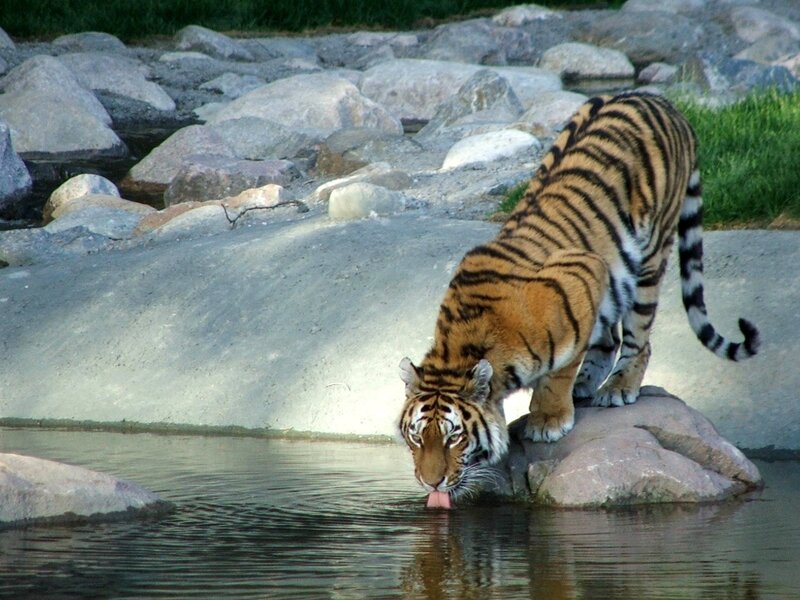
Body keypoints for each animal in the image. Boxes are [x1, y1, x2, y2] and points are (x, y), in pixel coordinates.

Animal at [398, 91, 760, 507]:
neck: (464, 346)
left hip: (650, 256)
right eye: (416, 436)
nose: (431, 483)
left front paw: (548, 420)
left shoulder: (583, 273)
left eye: (453, 436)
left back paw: (617, 389)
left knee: (638, 339)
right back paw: (588, 385)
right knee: (610, 337)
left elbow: (560, 369)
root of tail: (658, 99)